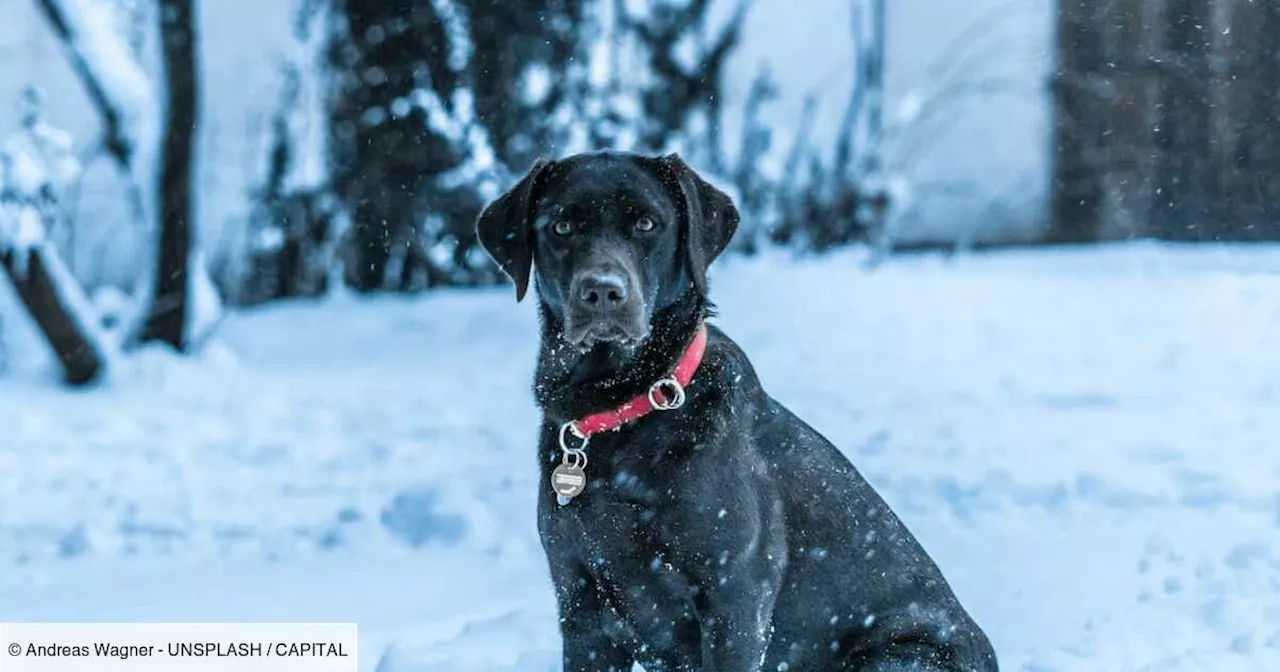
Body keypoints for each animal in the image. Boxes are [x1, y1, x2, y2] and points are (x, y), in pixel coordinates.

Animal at [476, 149, 993, 665]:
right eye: (562, 226)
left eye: (646, 223)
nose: (603, 290)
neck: (626, 406)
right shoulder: (581, 608)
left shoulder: (735, 600)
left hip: (900, 653)